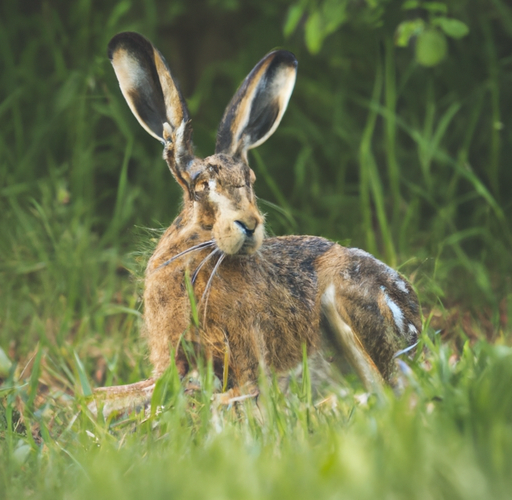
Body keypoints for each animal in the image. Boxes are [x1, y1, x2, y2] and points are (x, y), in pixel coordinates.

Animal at [92, 32, 420, 414]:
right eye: (202, 186)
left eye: (251, 180)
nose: (249, 224)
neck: (203, 254)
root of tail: (415, 322)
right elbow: (107, 397)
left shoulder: (246, 354)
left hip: (345, 303)